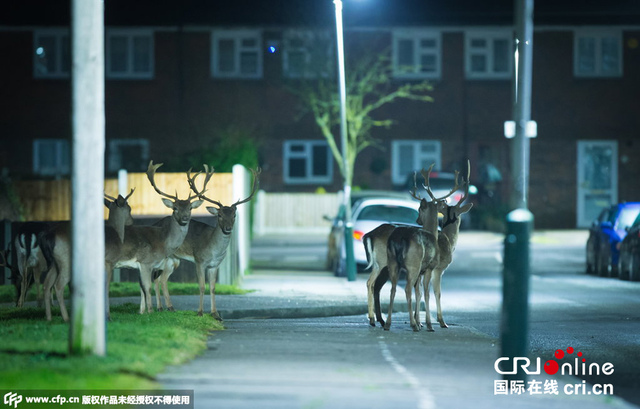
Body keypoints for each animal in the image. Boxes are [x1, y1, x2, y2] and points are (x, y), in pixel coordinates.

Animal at [152, 165, 260, 318]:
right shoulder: (199, 260)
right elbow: (202, 286)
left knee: (162, 279)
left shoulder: (215, 265)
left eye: (234, 215)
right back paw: (160, 308)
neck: (213, 249)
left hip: (174, 260)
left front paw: (216, 314)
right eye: (219, 215)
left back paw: (169, 308)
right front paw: (200, 312)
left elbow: (213, 288)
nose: (228, 228)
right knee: (156, 278)